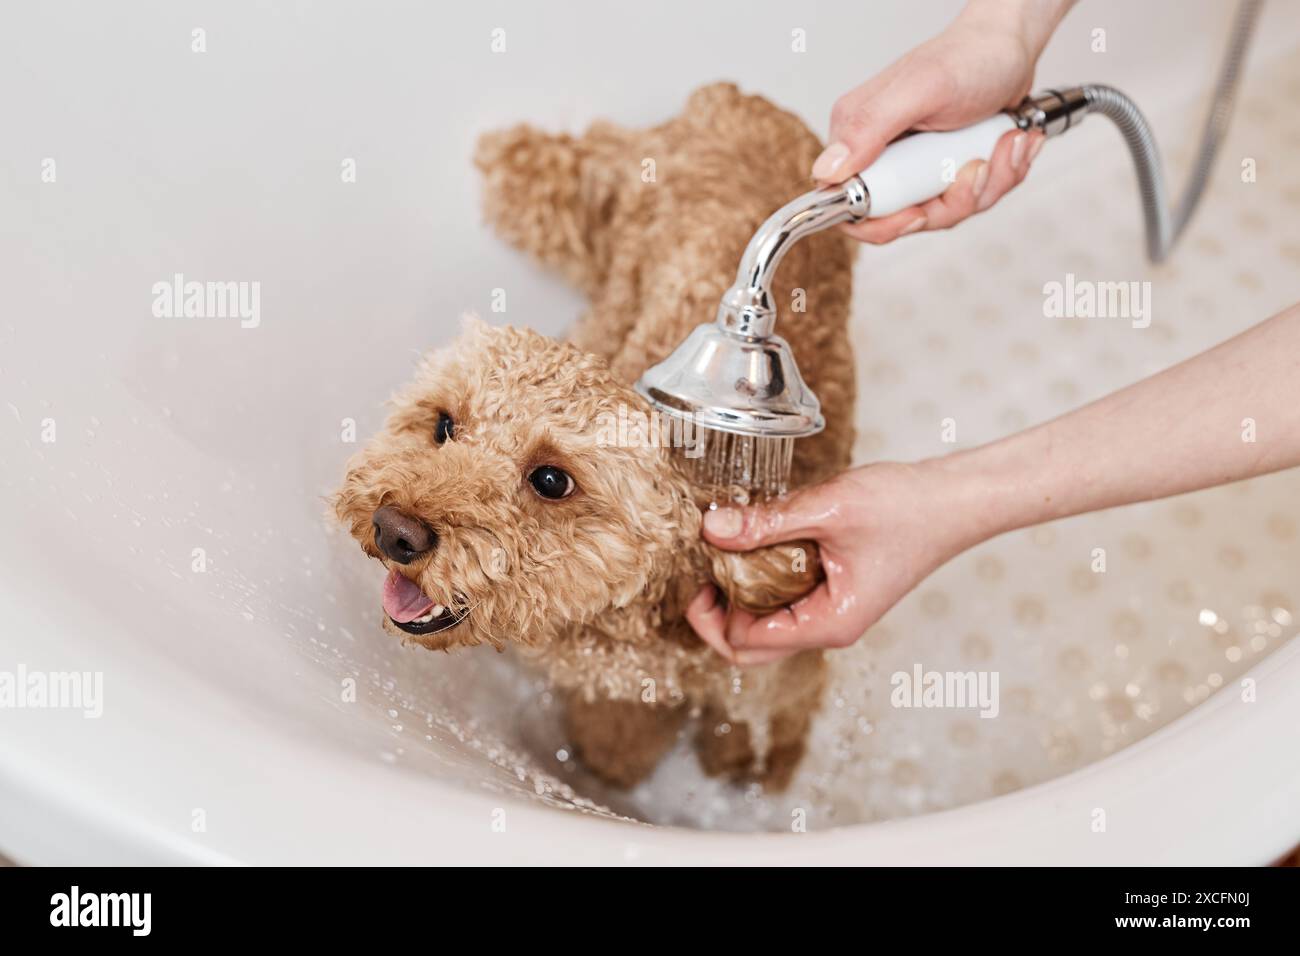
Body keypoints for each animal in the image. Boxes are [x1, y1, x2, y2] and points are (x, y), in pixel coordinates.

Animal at [335, 85, 852, 790]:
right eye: (443, 425)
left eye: (552, 480)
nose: (395, 530)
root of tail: (741, 98)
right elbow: (620, 748)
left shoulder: (779, 668)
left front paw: (752, 768)